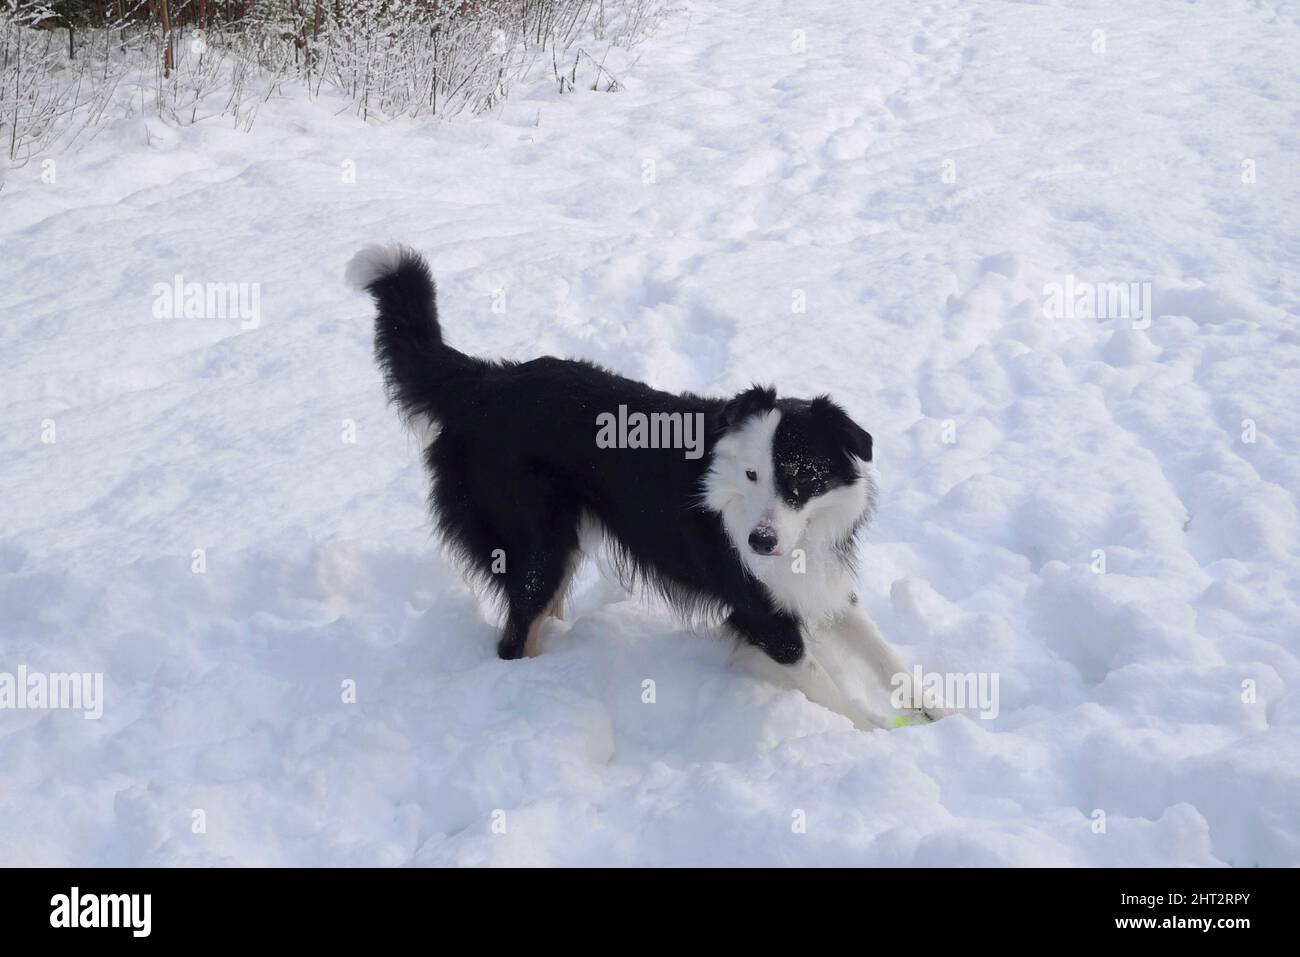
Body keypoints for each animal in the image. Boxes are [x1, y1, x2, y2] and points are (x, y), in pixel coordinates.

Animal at [351, 244, 930, 722]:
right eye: (752, 475)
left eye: (801, 479)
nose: (759, 543)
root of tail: (487, 380)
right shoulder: (764, 620)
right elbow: (838, 697)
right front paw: (882, 737)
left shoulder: (821, 584)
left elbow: (889, 659)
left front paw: (943, 715)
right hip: (536, 535)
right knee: (515, 637)